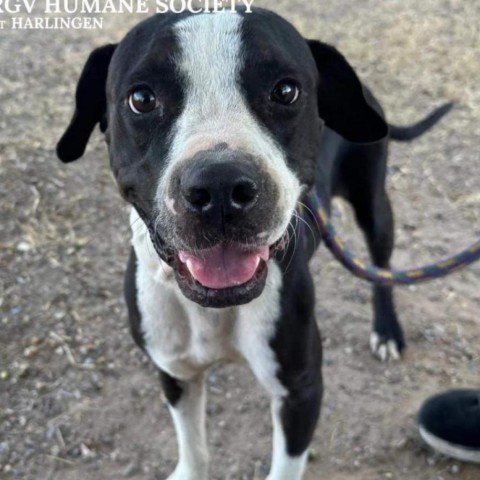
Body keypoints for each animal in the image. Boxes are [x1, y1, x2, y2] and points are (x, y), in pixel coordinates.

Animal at [56, 5, 450, 478]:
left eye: (286, 91)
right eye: (142, 98)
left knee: (382, 268)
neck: (213, 307)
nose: (221, 185)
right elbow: (193, 448)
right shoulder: (175, 373)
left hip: (373, 205)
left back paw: (387, 330)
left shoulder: (300, 391)